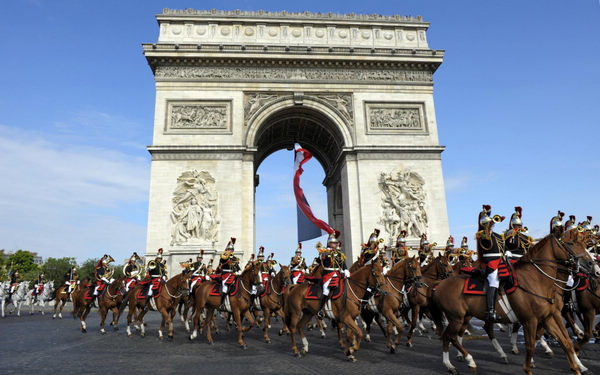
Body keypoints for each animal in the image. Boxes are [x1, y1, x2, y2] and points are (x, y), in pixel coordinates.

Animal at [432, 235, 600, 375]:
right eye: (571, 243)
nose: (592, 265)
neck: (537, 280)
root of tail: (441, 284)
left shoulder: (548, 317)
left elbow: (565, 342)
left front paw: (577, 366)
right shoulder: (531, 320)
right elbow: (531, 346)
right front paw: (529, 365)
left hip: (465, 316)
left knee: (455, 335)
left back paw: (453, 364)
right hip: (457, 318)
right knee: (451, 336)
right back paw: (468, 360)